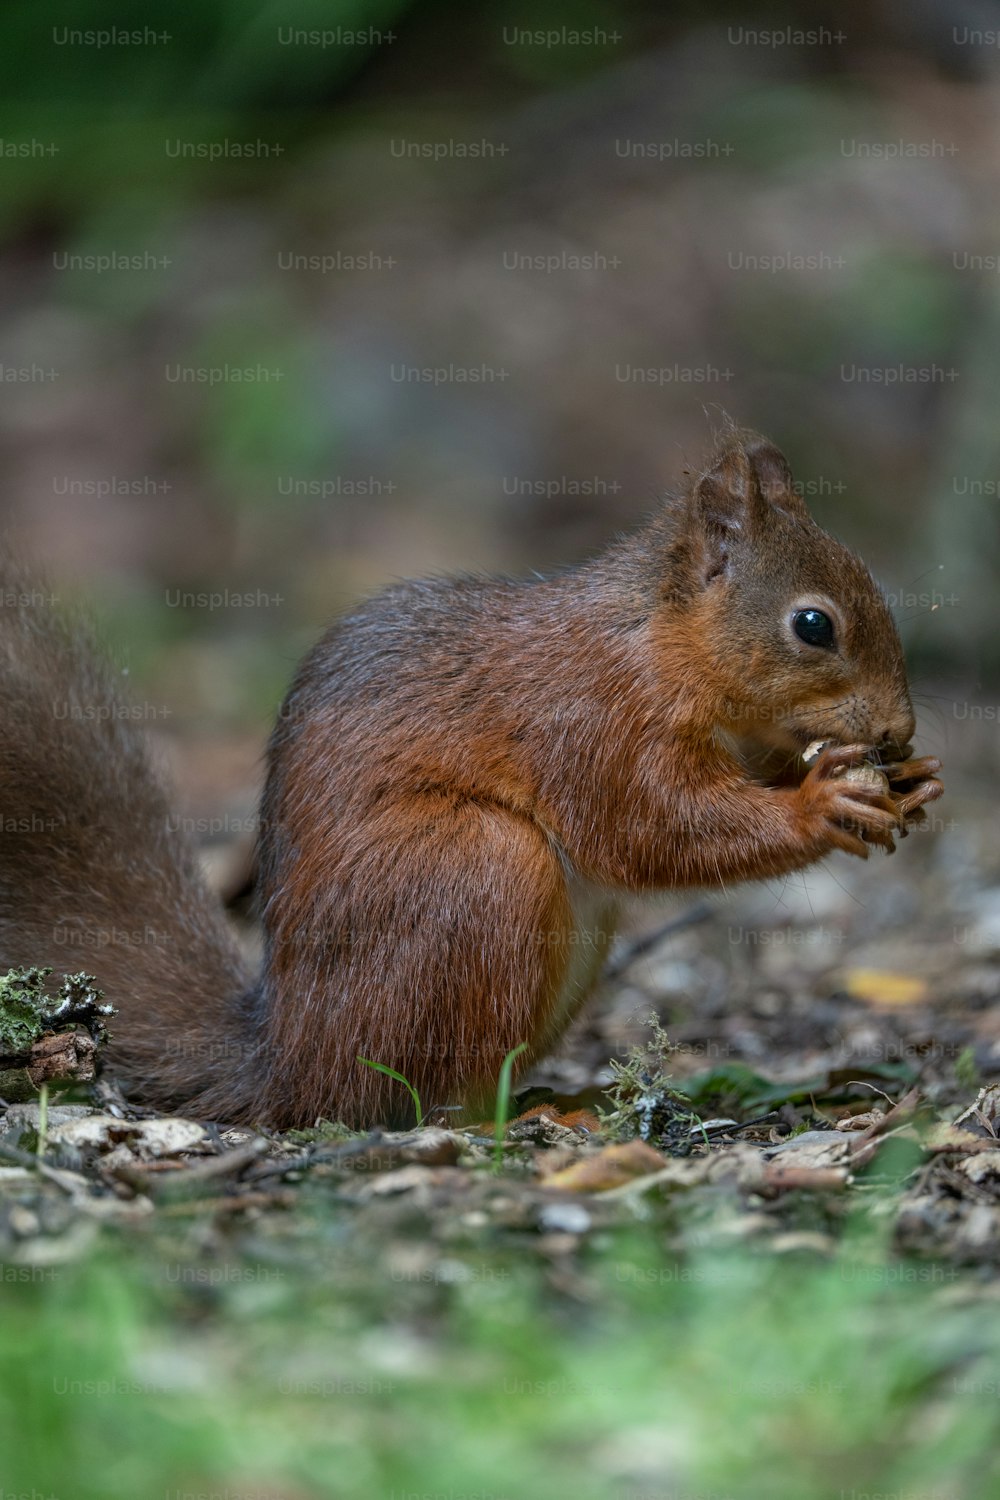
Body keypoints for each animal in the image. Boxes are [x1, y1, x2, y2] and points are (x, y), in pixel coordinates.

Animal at [0, 432, 941, 1128]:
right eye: (813, 625)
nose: (898, 730)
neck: (657, 637)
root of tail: (289, 1061)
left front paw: (910, 781)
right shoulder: (596, 722)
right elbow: (651, 828)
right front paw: (823, 803)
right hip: (476, 870)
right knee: (418, 1098)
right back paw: (520, 1116)